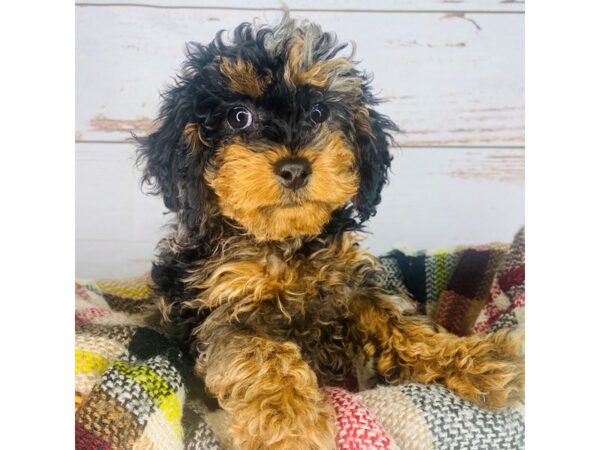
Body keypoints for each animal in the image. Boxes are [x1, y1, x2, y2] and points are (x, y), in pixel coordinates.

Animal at [138, 13, 524, 450]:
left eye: (319, 113)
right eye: (239, 117)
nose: (294, 169)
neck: (287, 245)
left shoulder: (351, 283)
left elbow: (402, 324)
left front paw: (479, 360)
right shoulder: (223, 310)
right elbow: (263, 356)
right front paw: (290, 425)